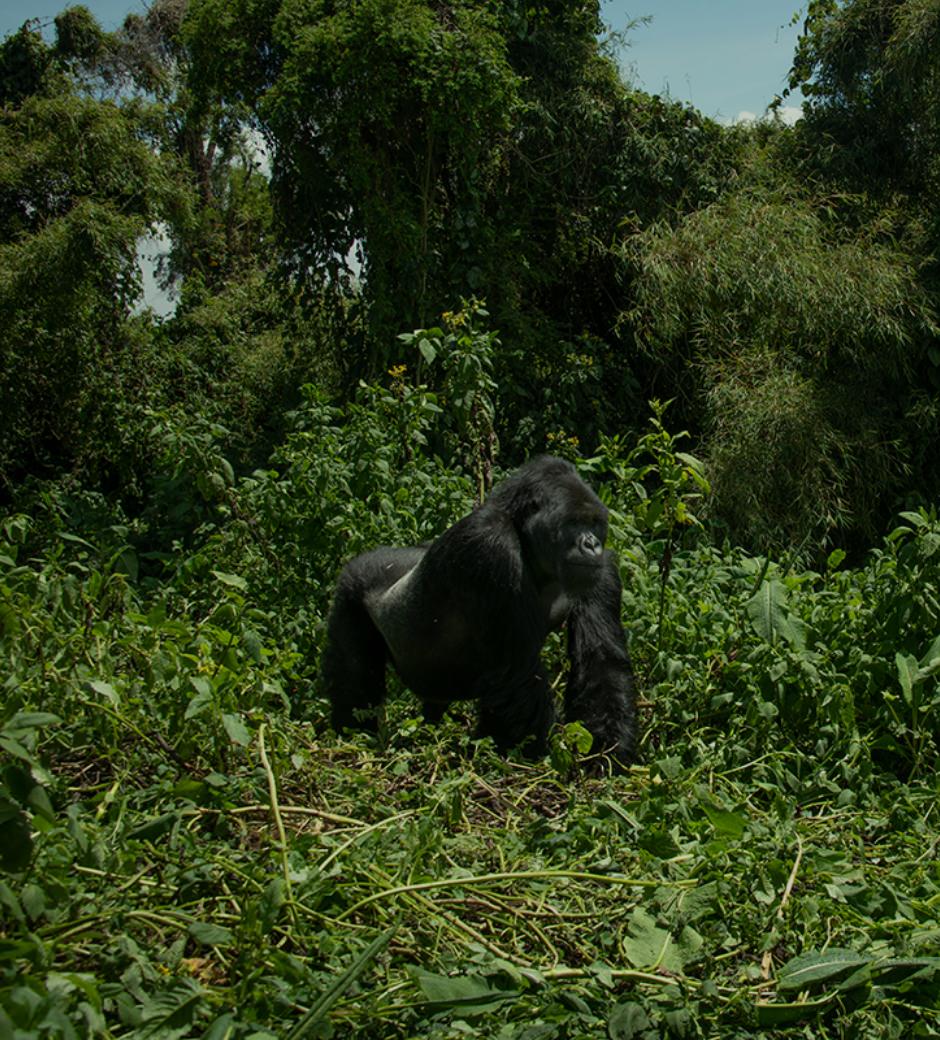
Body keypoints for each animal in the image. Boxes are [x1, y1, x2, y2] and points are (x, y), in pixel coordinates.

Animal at [322, 457, 640, 773]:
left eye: (595, 523)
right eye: (573, 522)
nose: (592, 544)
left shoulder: (602, 570)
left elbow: (601, 663)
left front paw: (608, 755)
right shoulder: (490, 544)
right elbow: (517, 675)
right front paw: (531, 763)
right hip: (352, 585)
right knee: (355, 680)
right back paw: (353, 739)